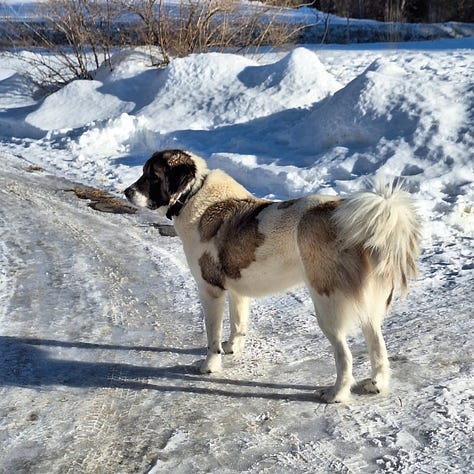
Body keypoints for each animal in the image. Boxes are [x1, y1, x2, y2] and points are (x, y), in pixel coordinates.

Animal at [124, 150, 420, 402]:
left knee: (344, 356)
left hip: (327, 305)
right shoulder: (237, 290)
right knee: (378, 346)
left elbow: (211, 336)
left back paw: (336, 393)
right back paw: (376, 383)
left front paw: (210, 365)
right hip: (368, 308)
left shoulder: (210, 290)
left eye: (152, 175)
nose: (126, 192)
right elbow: (238, 323)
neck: (193, 194)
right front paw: (232, 348)